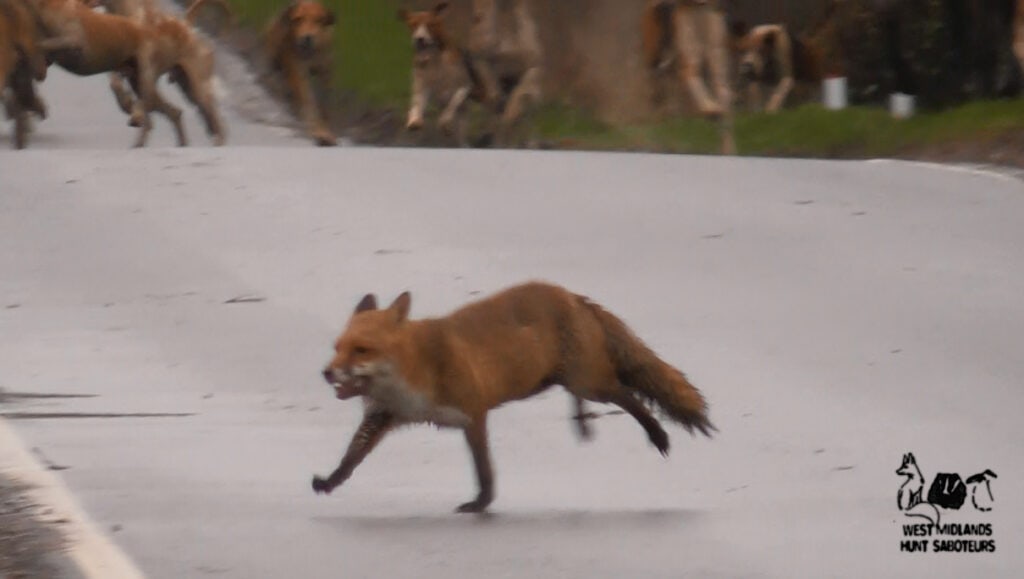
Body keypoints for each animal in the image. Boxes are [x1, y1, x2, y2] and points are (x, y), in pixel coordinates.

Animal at [313, 281, 715, 513]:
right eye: (337, 347)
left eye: (361, 350)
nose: (327, 372)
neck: (415, 371)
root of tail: (572, 295)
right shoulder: (383, 416)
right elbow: (351, 458)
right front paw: (329, 482)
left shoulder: (473, 413)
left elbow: (484, 470)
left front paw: (481, 503)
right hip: (556, 380)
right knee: (589, 396)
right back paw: (583, 425)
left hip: (590, 383)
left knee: (628, 394)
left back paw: (656, 434)